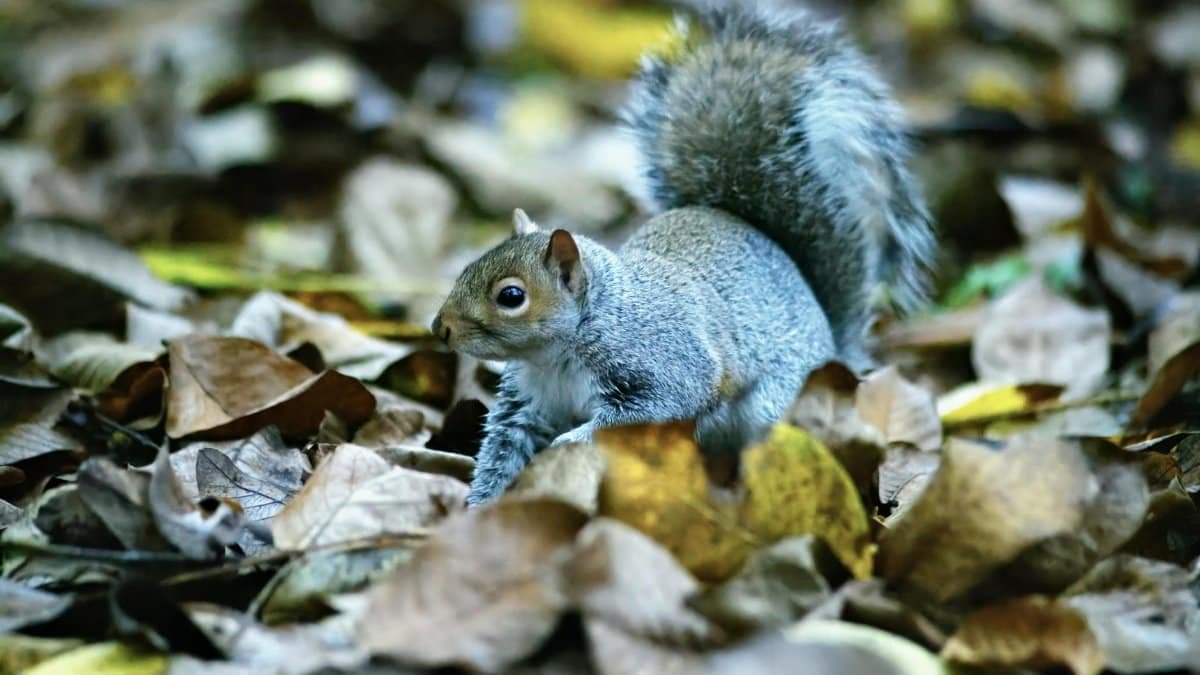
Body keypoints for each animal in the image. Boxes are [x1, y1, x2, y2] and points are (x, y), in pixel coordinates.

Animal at [431, 5, 935, 506]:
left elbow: (649, 410)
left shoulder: (666, 363)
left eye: (511, 296)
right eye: (466, 267)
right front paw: (480, 505)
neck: (561, 351)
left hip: (775, 409)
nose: (440, 328)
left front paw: (570, 443)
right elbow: (503, 449)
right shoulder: (528, 402)